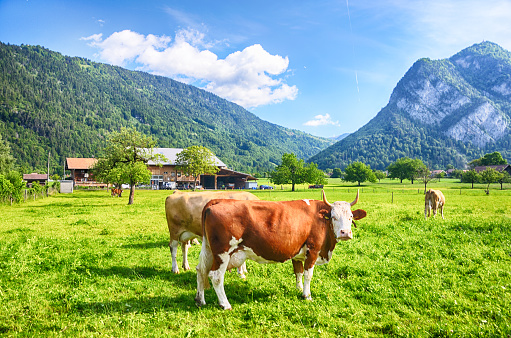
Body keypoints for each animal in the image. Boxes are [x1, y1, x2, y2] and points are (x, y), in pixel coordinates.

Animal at [194, 190, 366, 308]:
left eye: (350, 217)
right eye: (334, 217)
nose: (345, 233)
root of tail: (217, 201)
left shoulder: (298, 253)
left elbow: (298, 272)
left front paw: (298, 289)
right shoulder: (313, 251)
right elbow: (308, 274)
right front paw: (306, 295)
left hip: (208, 249)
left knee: (201, 270)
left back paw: (200, 300)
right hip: (222, 252)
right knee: (216, 276)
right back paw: (225, 304)